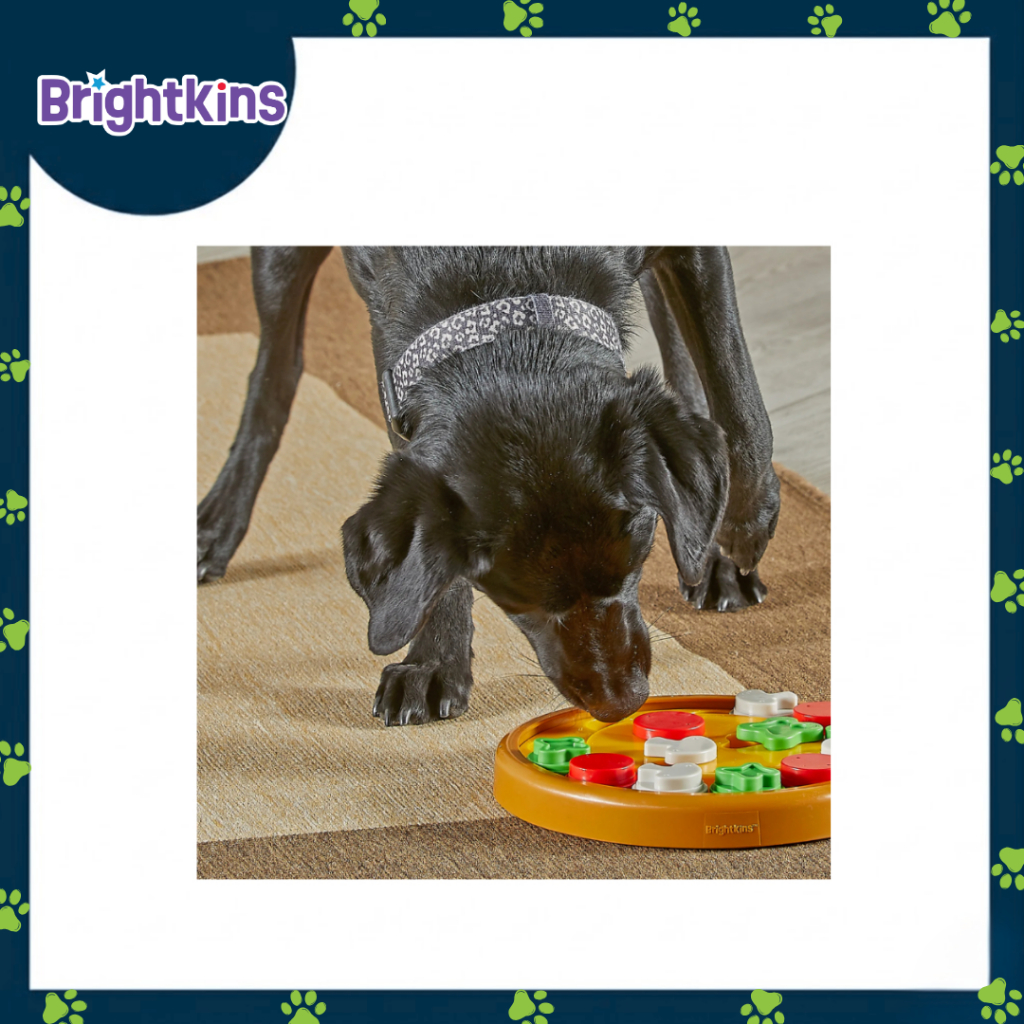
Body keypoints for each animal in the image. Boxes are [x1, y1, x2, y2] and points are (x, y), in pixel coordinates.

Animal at [197, 247, 780, 726]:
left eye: (636, 560)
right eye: (513, 600)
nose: (623, 703)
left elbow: (737, 394)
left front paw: (740, 530)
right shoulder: (392, 335)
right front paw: (433, 663)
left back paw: (712, 555)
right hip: (278, 265)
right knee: (274, 375)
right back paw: (217, 525)